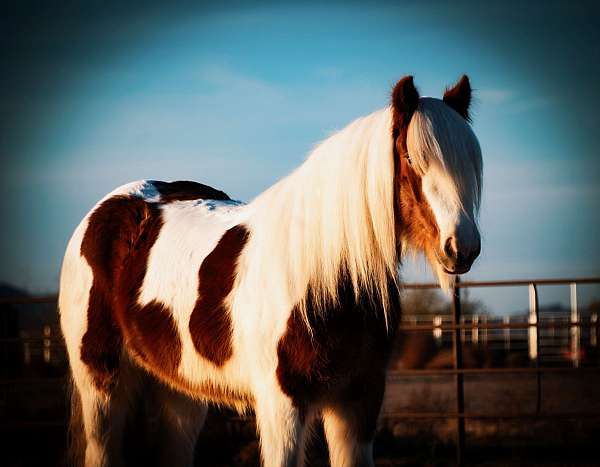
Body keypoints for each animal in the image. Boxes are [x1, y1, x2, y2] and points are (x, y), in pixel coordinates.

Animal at [59, 75, 482, 466]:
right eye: (412, 160)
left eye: (471, 166)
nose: (462, 247)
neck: (324, 278)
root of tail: (107, 209)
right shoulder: (283, 404)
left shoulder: (360, 399)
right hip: (101, 380)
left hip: (180, 391)